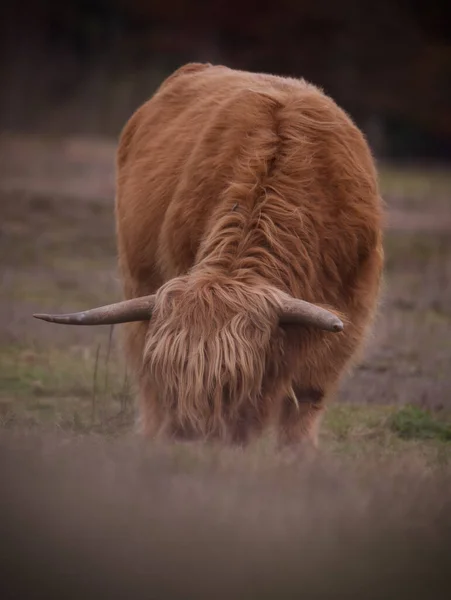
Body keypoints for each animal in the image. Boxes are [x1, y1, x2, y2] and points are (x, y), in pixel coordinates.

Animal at [34, 63, 384, 448]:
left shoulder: (351, 310)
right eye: (171, 378)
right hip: (137, 278)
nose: (189, 439)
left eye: (232, 383)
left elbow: (307, 397)